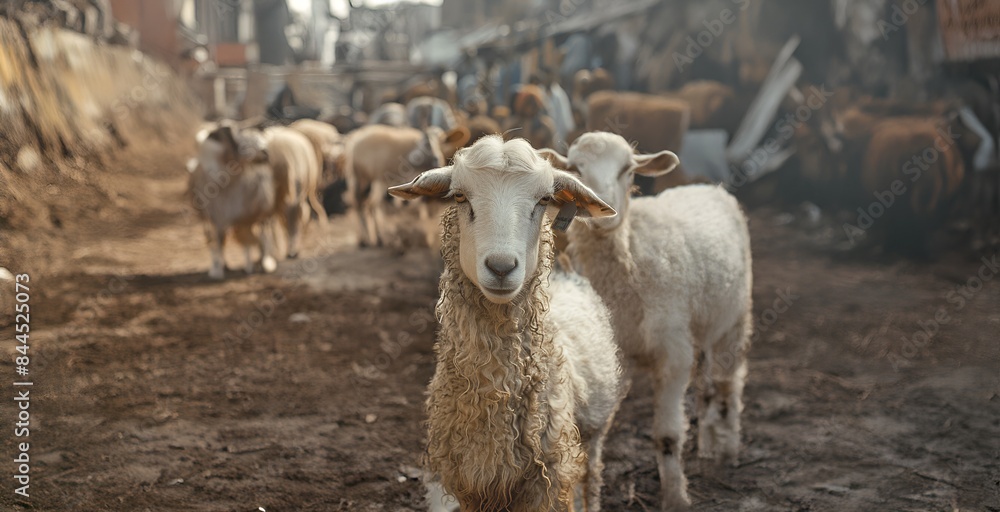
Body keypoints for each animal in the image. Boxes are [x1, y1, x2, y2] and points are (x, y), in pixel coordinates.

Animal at [189, 123, 279, 279]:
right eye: (242, 142)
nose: (265, 153)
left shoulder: (248, 215)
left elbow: (249, 240)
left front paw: (256, 266)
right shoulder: (215, 217)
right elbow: (218, 241)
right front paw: (217, 271)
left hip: (260, 212)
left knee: (261, 233)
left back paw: (262, 262)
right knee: (215, 239)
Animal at [388, 135, 624, 512]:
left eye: (544, 200)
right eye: (459, 196)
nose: (501, 267)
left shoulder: (547, 482)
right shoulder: (468, 482)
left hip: (596, 429)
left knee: (591, 478)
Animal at [541, 132, 753, 511]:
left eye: (627, 169)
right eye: (576, 168)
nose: (604, 211)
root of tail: (708, 186)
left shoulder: (672, 351)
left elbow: (667, 436)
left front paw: (676, 497)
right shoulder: (616, 357)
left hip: (733, 315)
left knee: (729, 381)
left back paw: (727, 449)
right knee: (707, 386)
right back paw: (708, 447)